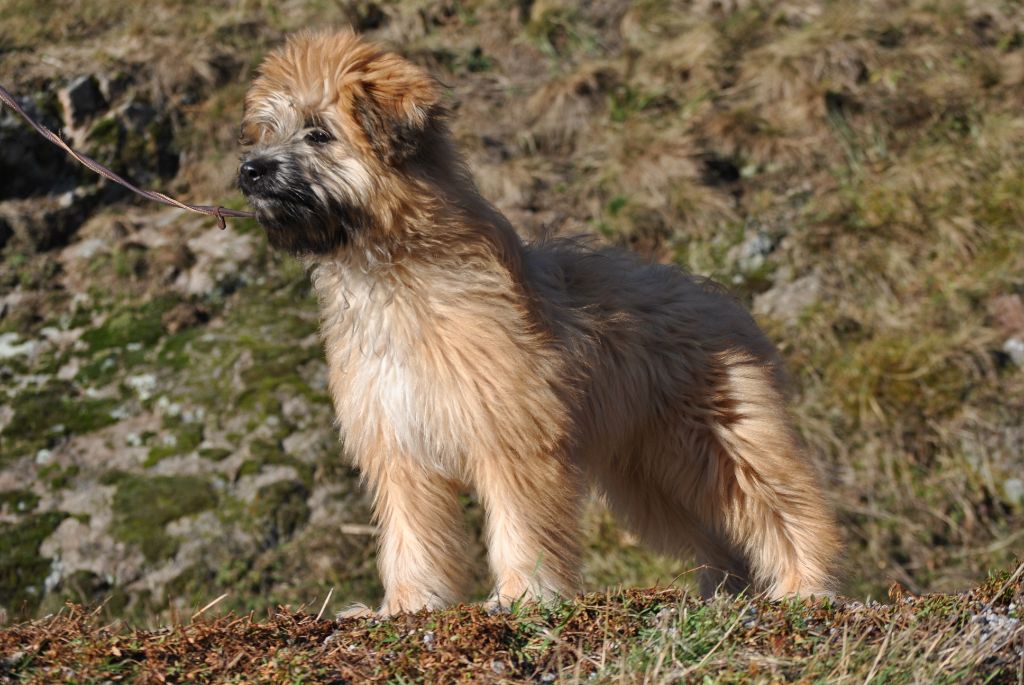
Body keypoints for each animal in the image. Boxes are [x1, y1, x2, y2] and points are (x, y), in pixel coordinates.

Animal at [237, 30, 839, 614]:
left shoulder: (512, 433)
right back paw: (723, 596)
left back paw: (807, 584)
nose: (250, 170)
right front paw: (408, 605)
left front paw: (523, 594)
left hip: (723, 440)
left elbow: (520, 523)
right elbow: (412, 537)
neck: (394, 274)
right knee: (716, 538)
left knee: (785, 505)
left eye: (318, 133)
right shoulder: (400, 448)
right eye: (267, 132)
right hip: (647, 476)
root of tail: (715, 297)